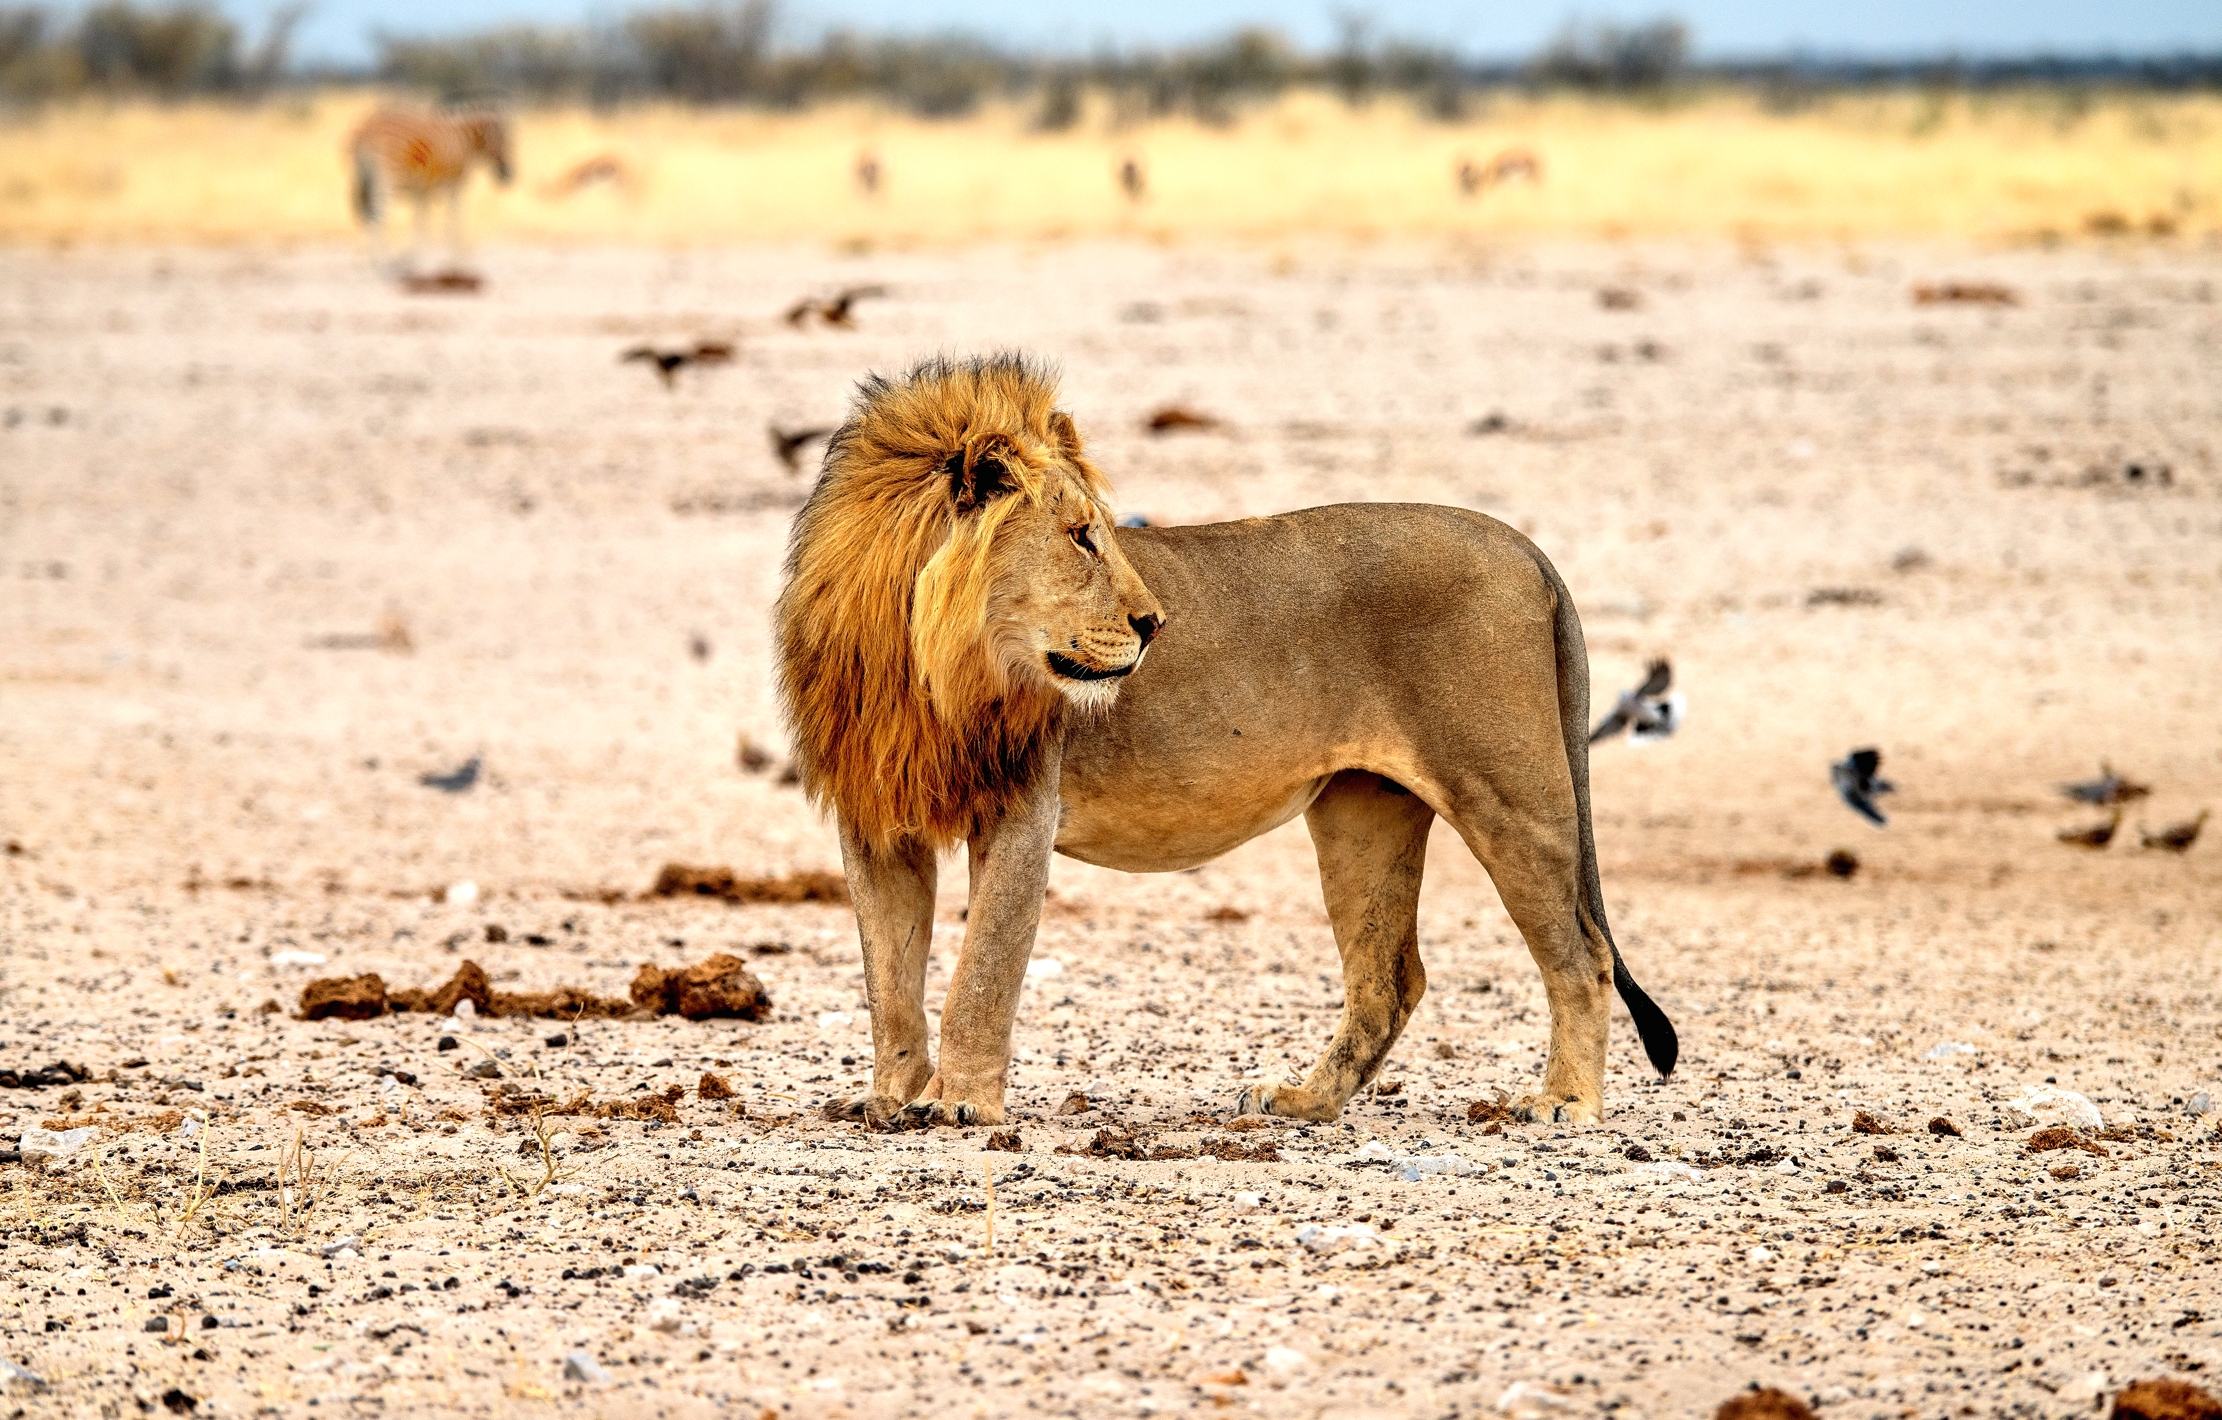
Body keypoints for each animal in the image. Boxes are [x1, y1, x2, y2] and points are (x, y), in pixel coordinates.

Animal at [775, 354, 1677, 1129]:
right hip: (1362, 815)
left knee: (1583, 956)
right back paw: (1304, 1102)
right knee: (1389, 978)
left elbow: (981, 973)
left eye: (1105, 532)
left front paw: (960, 1105)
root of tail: (1525, 548)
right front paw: (889, 1099)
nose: (1154, 623)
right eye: (1081, 536)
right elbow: (891, 982)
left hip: (1508, 796)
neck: (918, 656)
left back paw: (1564, 1103)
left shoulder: (1023, 808)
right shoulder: (875, 820)